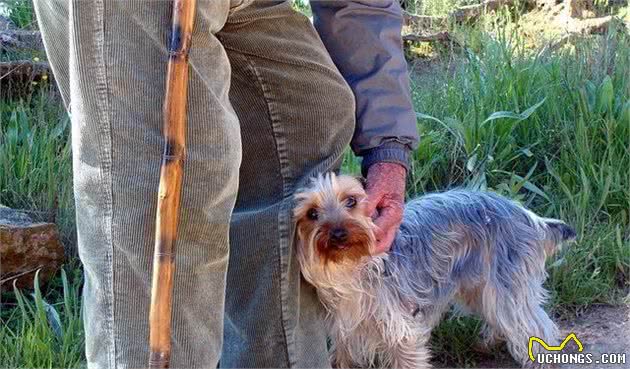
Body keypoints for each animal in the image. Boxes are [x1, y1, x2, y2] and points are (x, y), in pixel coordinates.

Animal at [294, 173, 576, 368]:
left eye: (351, 201)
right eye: (312, 213)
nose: (338, 233)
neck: (350, 267)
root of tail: (528, 216)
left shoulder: (401, 330)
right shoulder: (345, 329)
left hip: (507, 281)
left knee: (535, 327)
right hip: (479, 285)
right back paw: (487, 342)